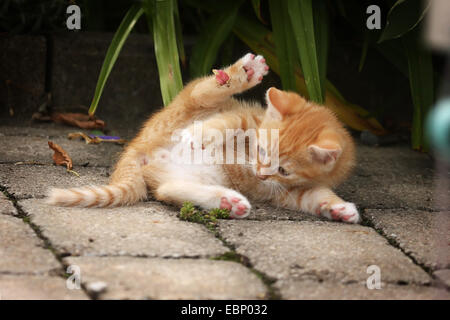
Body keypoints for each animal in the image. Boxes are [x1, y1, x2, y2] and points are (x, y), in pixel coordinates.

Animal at [47, 53, 360, 222]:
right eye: (260, 151)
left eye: (283, 170)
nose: (259, 174)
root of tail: (137, 148)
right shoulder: (248, 117)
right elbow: (229, 122)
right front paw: (200, 134)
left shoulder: (290, 191)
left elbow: (317, 196)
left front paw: (340, 209)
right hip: (189, 106)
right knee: (203, 90)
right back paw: (245, 72)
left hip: (195, 175)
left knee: (168, 190)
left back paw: (227, 202)